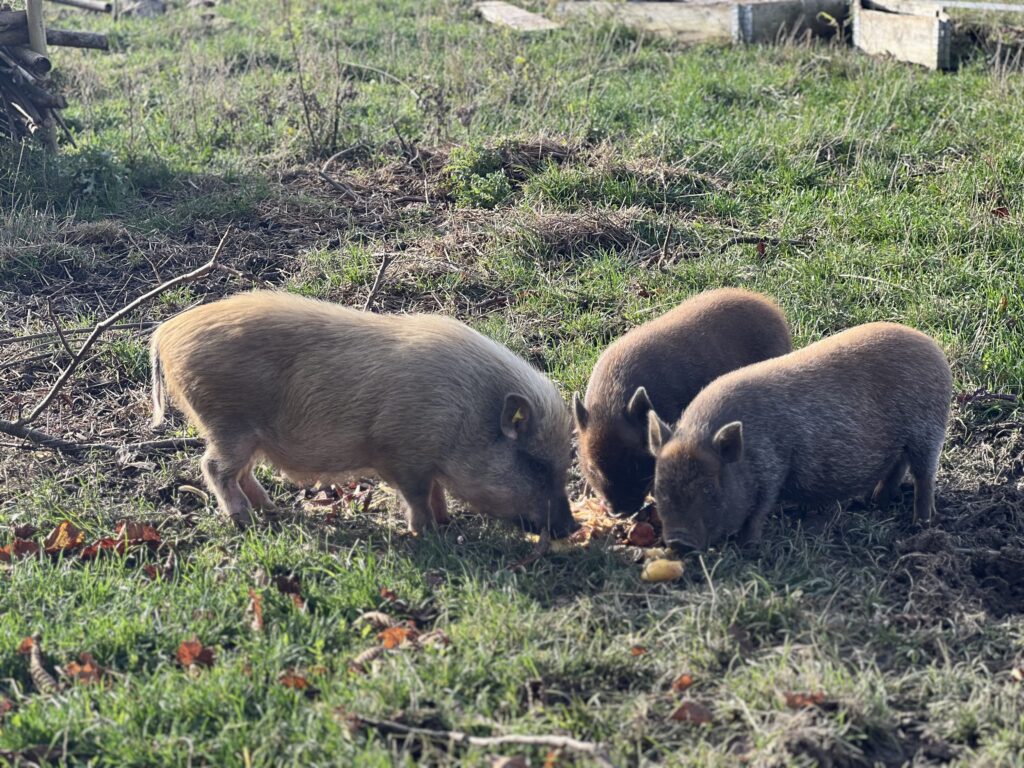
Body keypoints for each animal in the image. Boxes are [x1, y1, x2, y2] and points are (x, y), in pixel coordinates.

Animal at [153, 290, 585, 536]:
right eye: (535, 464)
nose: (571, 528)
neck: (467, 413)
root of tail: (166, 333)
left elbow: (434, 490)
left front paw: (445, 522)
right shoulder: (401, 455)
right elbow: (417, 495)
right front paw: (426, 532)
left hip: (245, 435)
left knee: (241, 473)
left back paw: (272, 510)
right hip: (228, 424)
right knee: (214, 468)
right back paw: (243, 520)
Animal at [647, 321, 950, 548]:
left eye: (709, 488)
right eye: (659, 487)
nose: (678, 542)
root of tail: (934, 349)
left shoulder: (773, 468)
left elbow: (759, 511)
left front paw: (748, 547)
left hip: (928, 430)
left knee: (924, 476)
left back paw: (920, 524)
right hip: (905, 440)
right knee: (899, 464)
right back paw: (874, 501)